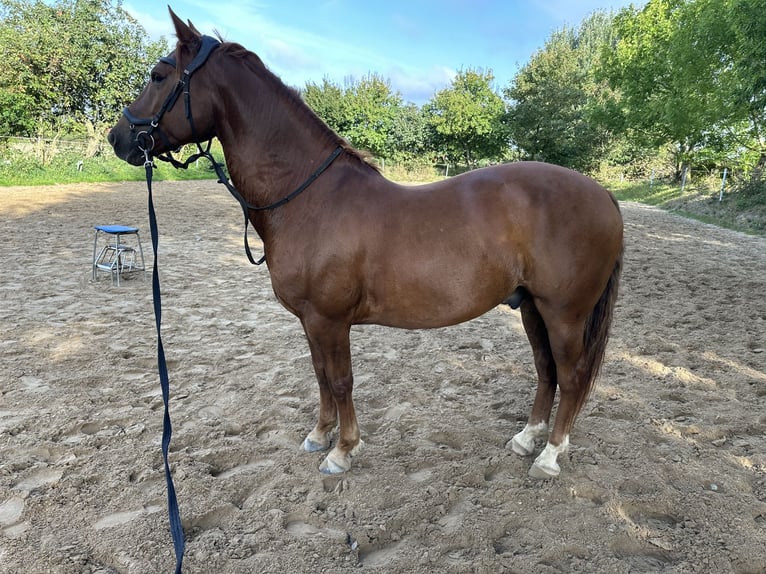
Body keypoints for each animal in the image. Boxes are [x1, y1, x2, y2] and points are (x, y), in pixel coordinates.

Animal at [109, 10, 624, 482]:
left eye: (158, 76)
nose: (119, 138)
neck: (309, 196)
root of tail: (604, 196)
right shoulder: (311, 321)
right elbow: (320, 375)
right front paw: (319, 436)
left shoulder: (329, 319)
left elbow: (340, 380)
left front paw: (343, 450)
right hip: (532, 306)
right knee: (546, 369)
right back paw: (527, 438)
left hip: (563, 312)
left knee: (571, 375)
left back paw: (550, 455)